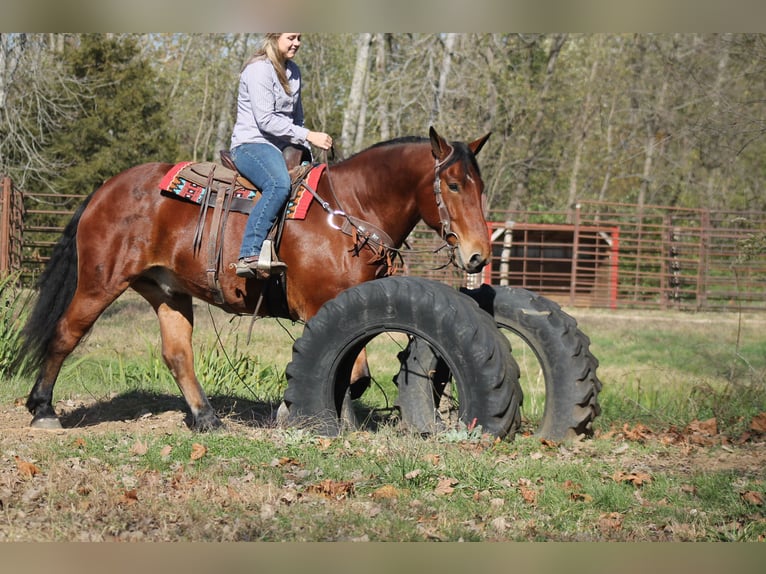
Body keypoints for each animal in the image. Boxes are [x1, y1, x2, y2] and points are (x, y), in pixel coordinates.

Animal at [19, 126, 492, 431]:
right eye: (452, 185)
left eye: (480, 186)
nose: (477, 255)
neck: (349, 210)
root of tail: (105, 189)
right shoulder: (317, 306)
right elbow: (345, 373)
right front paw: (298, 415)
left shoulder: (347, 307)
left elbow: (353, 375)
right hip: (100, 283)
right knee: (65, 333)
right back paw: (43, 411)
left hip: (167, 291)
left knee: (177, 354)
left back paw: (207, 419)